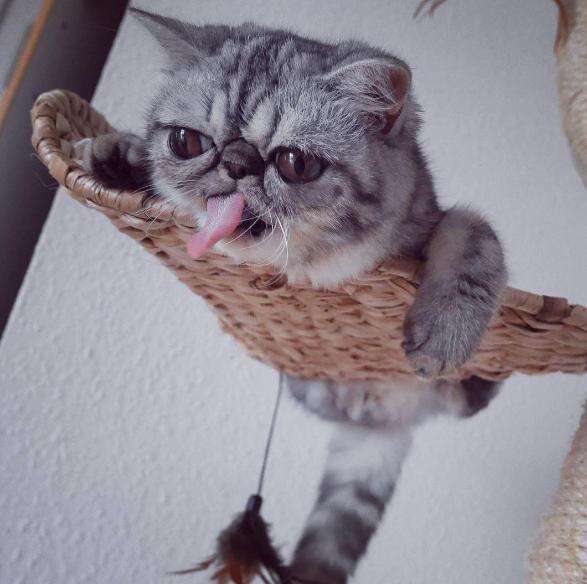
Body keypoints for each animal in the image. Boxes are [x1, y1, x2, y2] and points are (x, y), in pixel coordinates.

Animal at [76, 8, 507, 583]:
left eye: (295, 163)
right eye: (187, 142)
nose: (235, 162)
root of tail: (387, 421)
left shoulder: (435, 223)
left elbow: (471, 229)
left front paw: (446, 328)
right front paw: (118, 153)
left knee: (472, 398)